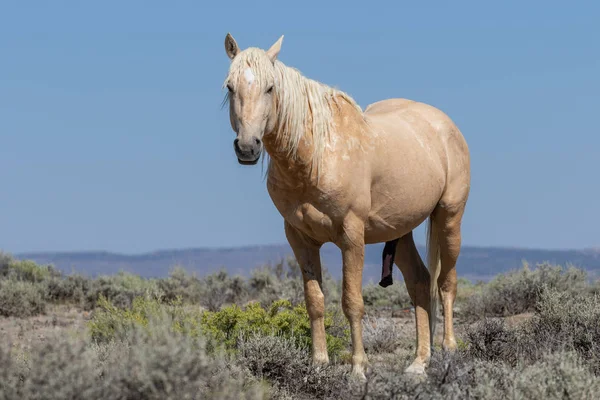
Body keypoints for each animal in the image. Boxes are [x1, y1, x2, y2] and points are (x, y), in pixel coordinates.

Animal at [223, 33, 472, 378]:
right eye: (230, 87)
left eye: (270, 87)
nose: (247, 147)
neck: (314, 156)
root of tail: (445, 125)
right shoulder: (299, 238)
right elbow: (314, 301)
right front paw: (318, 364)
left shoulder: (351, 236)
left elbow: (352, 302)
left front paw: (358, 369)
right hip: (400, 231)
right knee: (421, 283)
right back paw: (419, 362)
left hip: (449, 218)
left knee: (446, 283)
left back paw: (448, 351)